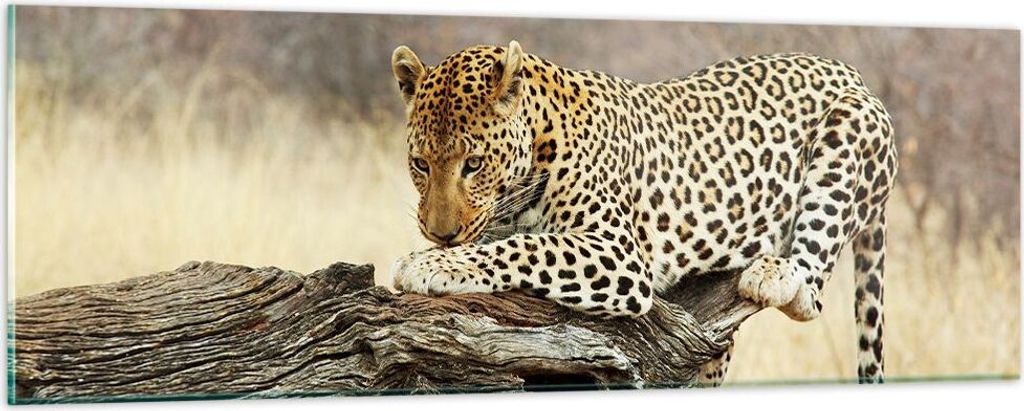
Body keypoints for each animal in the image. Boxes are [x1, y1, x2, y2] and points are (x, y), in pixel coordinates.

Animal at [387, 41, 897, 385]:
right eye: (420, 165)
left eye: (473, 164)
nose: (441, 234)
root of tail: (852, 72)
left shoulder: (619, 254)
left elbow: (527, 247)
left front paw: (429, 264)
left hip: (848, 130)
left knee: (811, 290)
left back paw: (774, 273)